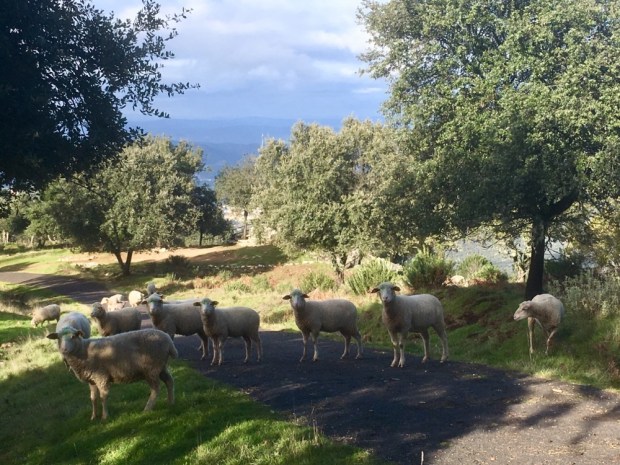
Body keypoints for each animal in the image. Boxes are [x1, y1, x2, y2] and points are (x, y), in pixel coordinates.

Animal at [47, 327, 177, 421]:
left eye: (73, 336)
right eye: (58, 338)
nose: (64, 350)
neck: (84, 351)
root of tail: (168, 339)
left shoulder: (101, 376)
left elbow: (103, 396)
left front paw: (105, 417)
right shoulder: (92, 380)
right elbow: (93, 398)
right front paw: (93, 417)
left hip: (151, 368)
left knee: (156, 388)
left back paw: (147, 408)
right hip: (160, 366)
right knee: (169, 381)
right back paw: (170, 402)